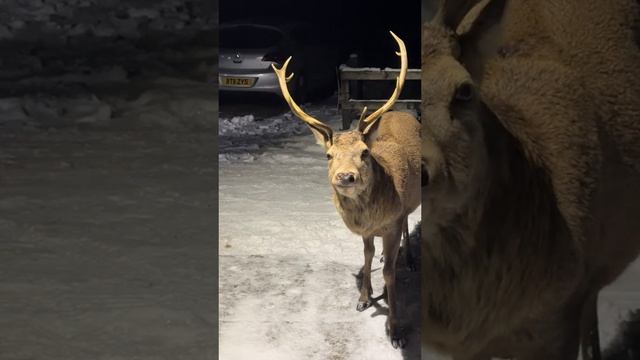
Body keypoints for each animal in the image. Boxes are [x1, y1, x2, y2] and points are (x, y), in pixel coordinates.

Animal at [270, 31, 420, 348]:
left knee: (408, 224)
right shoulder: (366, 231)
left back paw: (410, 260)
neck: (372, 218)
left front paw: (396, 330)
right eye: (328, 155)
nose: (345, 176)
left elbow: (390, 272)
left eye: (364, 152)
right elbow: (366, 255)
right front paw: (364, 298)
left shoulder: (392, 220)